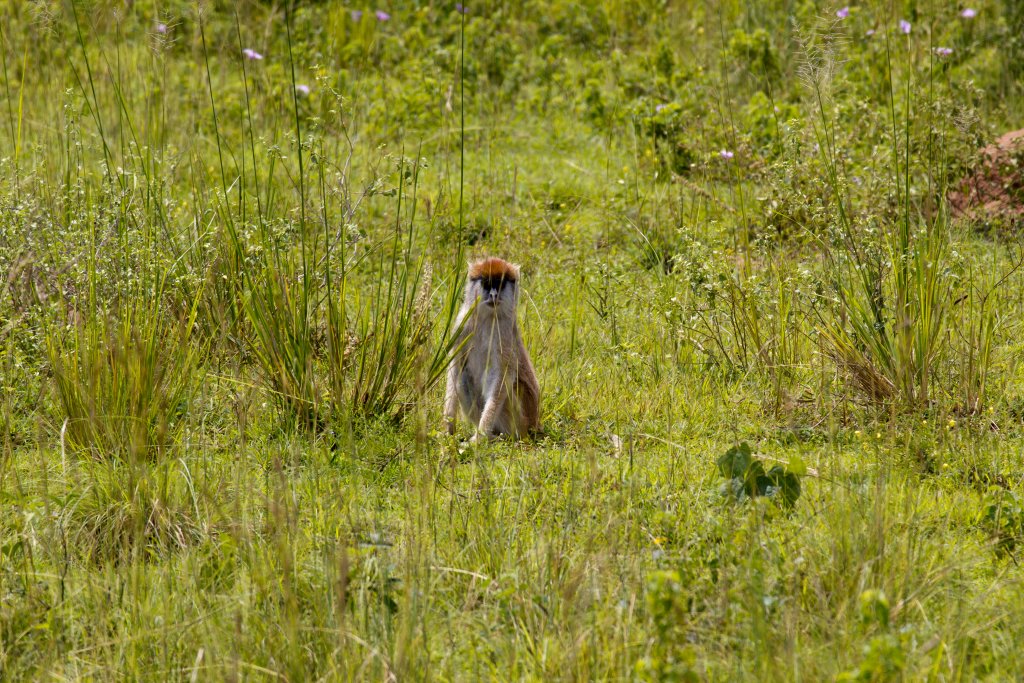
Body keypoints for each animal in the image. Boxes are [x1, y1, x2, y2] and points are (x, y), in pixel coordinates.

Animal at [444, 257, 540, 441]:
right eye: (487, 283)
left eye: (500, 284)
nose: (493, 295)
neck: (487, 317)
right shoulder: (462, 324)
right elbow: (456, 367)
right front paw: (447, 427)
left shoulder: (503, 330)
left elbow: (501, 375)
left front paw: (479, 437)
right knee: (463, 377)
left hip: (520, 419)